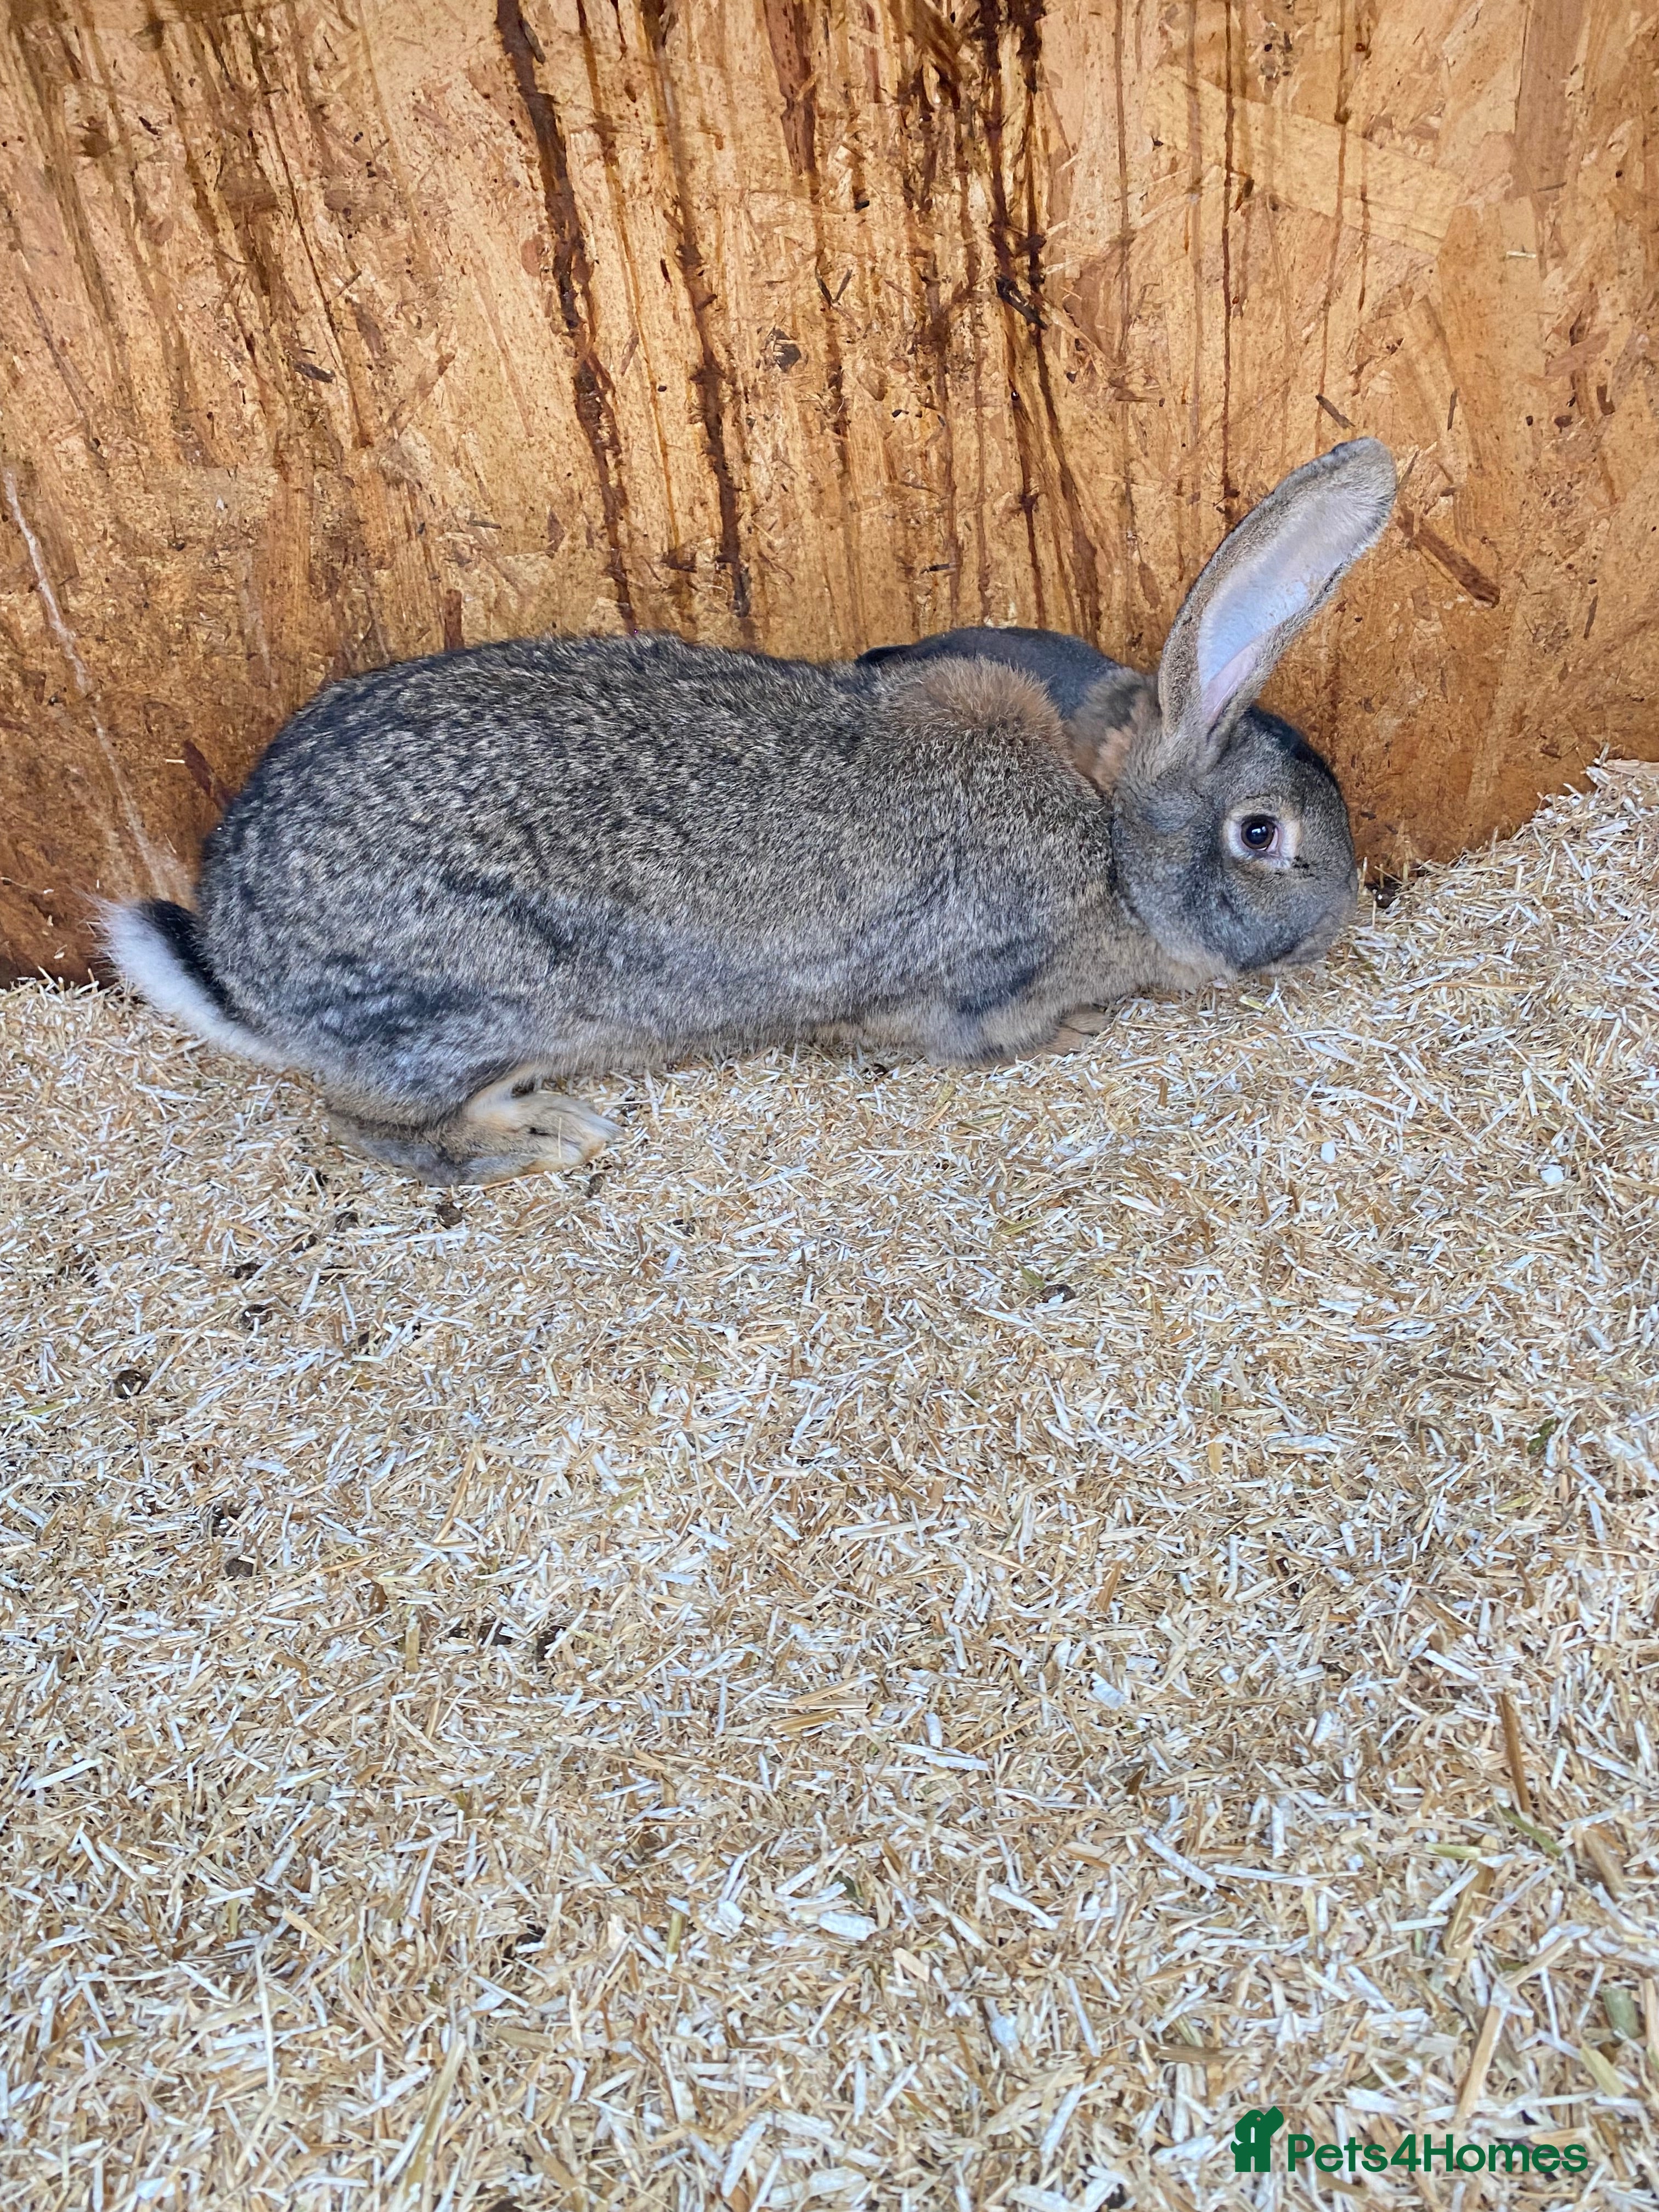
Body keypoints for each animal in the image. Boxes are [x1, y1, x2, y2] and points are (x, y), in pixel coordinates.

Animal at [104, 438, 1395, 1185]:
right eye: (1262, 834)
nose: (1340, 914)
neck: (1110, 839)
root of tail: (245, 971)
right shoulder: (972, 984)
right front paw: (1074, 1032)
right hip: (451, 1012)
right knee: (375, 1128)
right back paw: (541, 1133)